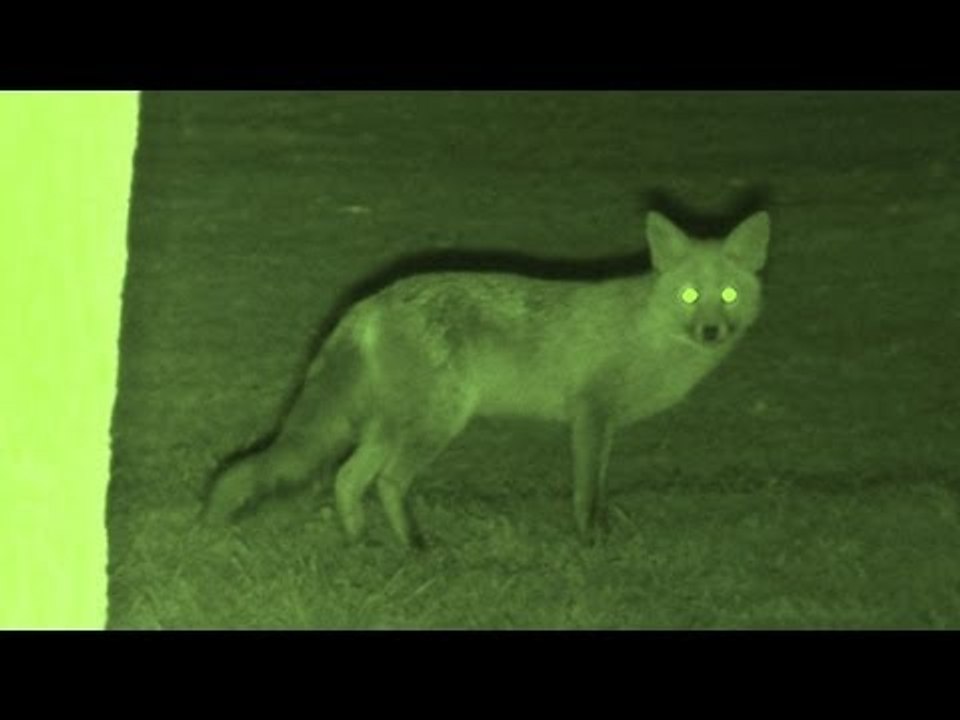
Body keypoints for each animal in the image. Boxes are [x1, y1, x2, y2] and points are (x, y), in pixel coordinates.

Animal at [204, 209, 770, 547]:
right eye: (690, 296)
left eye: (729, 296)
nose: (712, 332)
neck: (646, 332)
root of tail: (372, 301)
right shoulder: (590, 415)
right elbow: (587, 492)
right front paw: (592, 545)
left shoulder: (600, 422)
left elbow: (599, 490)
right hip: (436, 424)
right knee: (387, 481)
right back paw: (416, 549)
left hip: (392, 427)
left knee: (347, 479)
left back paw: (362, 544)